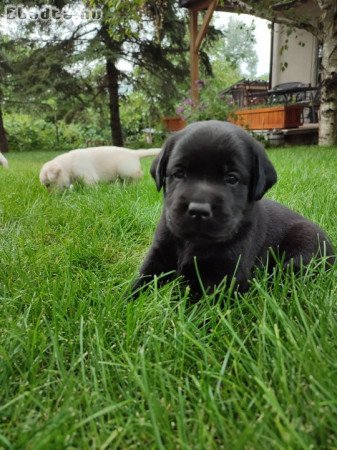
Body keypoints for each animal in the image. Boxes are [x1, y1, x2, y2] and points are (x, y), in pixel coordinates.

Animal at [131, 120, 334, 296]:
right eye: (179, 173)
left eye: (232, 178)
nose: (199, 210)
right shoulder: (158, 255)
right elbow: (139, 285)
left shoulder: (225, 274)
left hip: (304, 245)